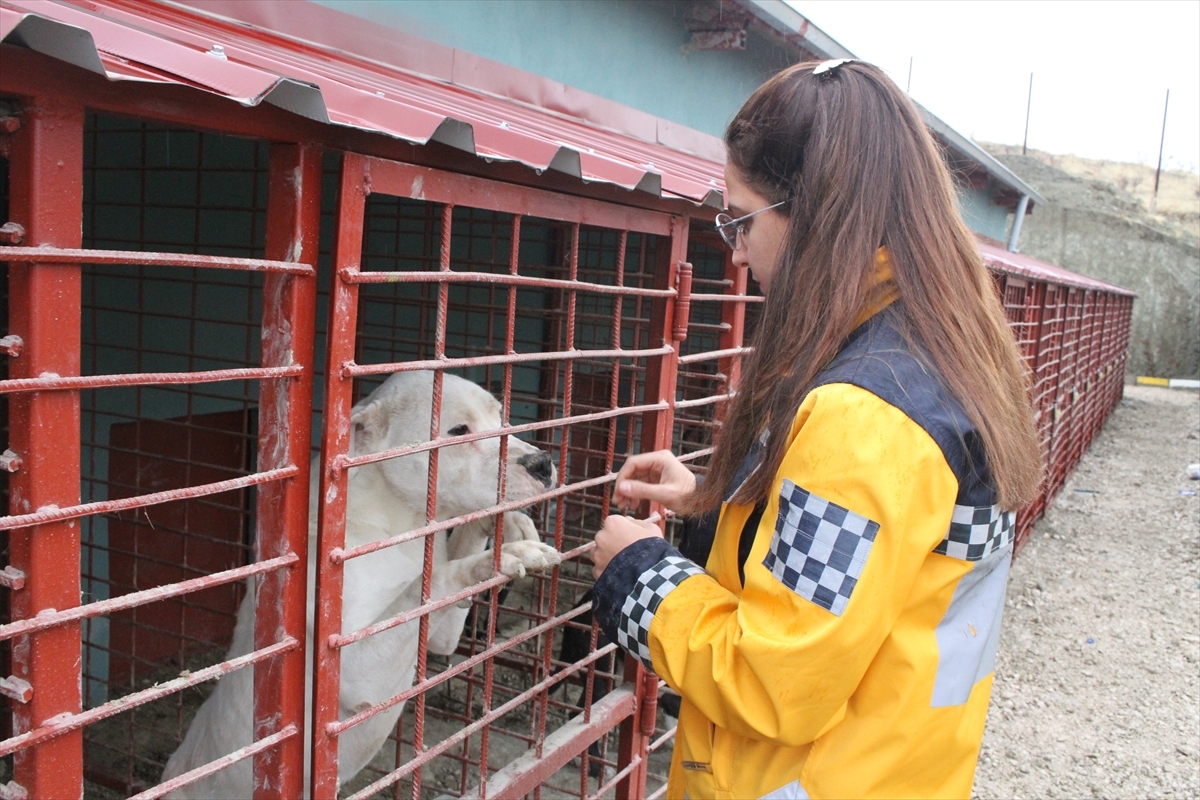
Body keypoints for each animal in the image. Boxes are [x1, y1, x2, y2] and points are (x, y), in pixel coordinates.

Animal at [158, 371, 561, 796]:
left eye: (500, 416)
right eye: (458, 430)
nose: (542, 462)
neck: (395, 524)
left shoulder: (440, 635)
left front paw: (505, 525)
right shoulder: (350, 667)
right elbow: (429, 583)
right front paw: (506, 554)